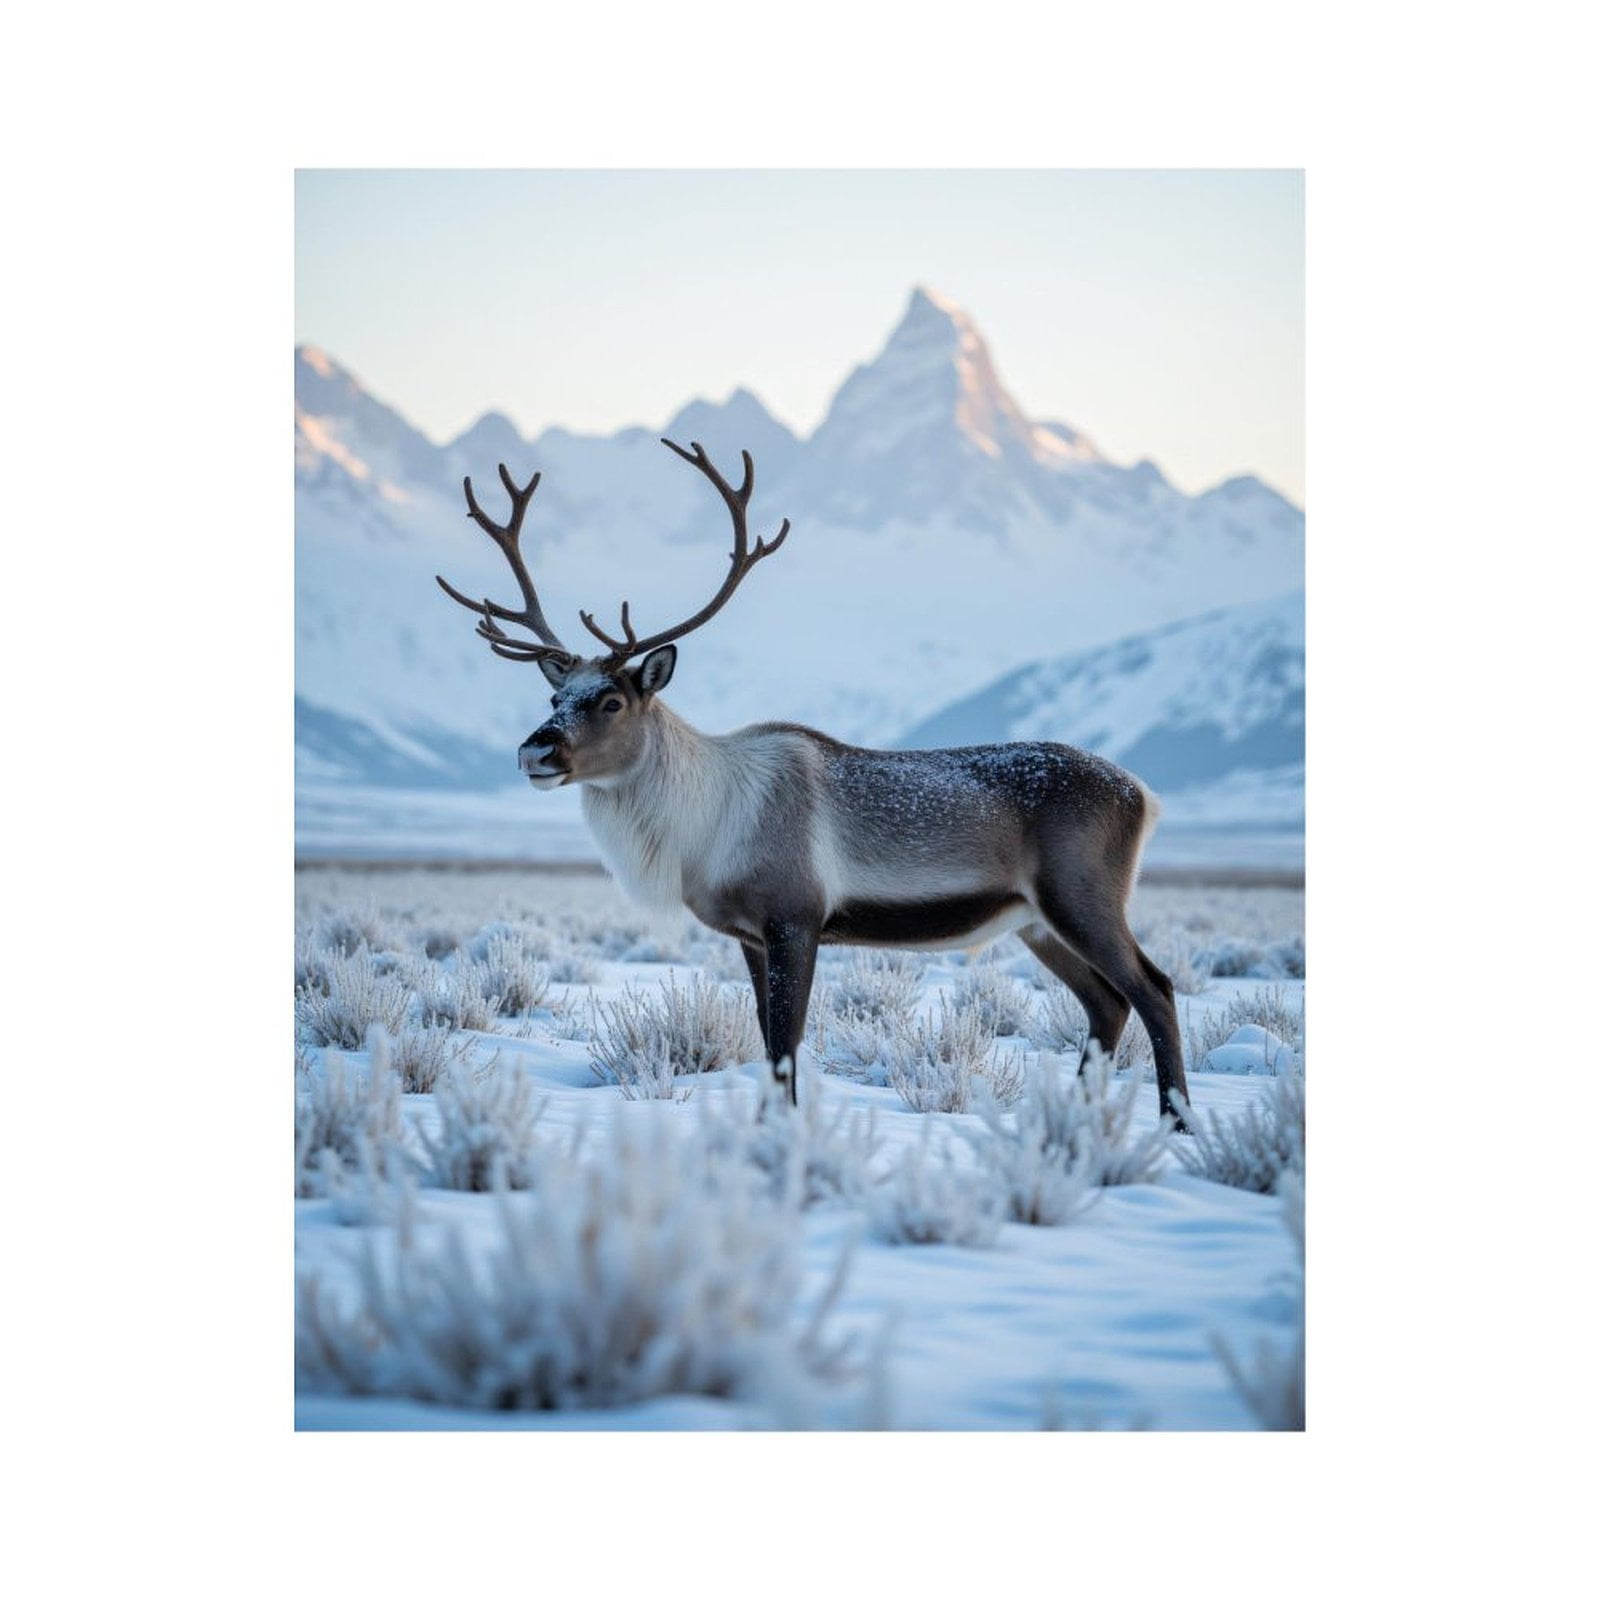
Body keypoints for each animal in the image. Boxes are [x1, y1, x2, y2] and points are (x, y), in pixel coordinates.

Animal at [436, 439, 1192, 1125]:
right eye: (555, 697)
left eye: (612, 700)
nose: (534, 751)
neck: (701, 826)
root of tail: (1145, 795)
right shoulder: (747, 934)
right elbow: (769, 1044)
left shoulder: (796, 916)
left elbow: (787, 1044)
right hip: (1035, 921)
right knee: (1107, 1002)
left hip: (1080, 895)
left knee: (1153, 988)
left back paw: (1175, 1122)